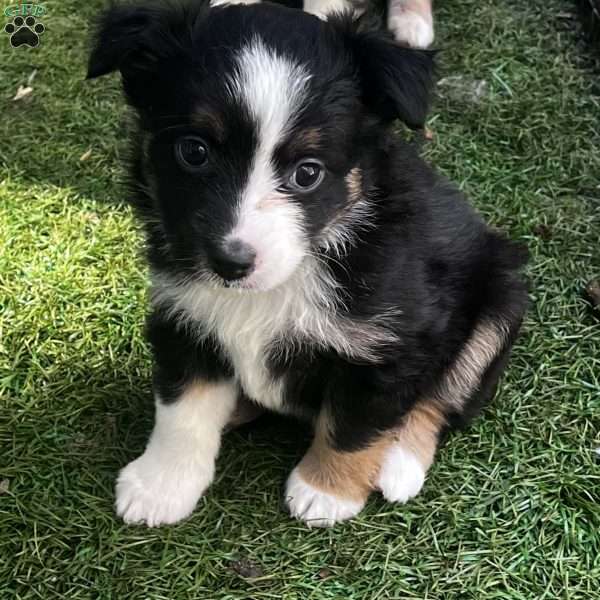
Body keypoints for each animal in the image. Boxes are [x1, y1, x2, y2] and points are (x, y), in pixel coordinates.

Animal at [86, 0, 528, 528]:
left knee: (443, 398)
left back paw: (399, 460)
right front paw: (161, 486)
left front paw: (326, 492)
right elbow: (182, 408)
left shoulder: (391, 344)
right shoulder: (184, 314)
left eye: (308, 173)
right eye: (193, 151)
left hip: (501, 300)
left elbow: (355, 424)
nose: (229, 264)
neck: (306, 262)